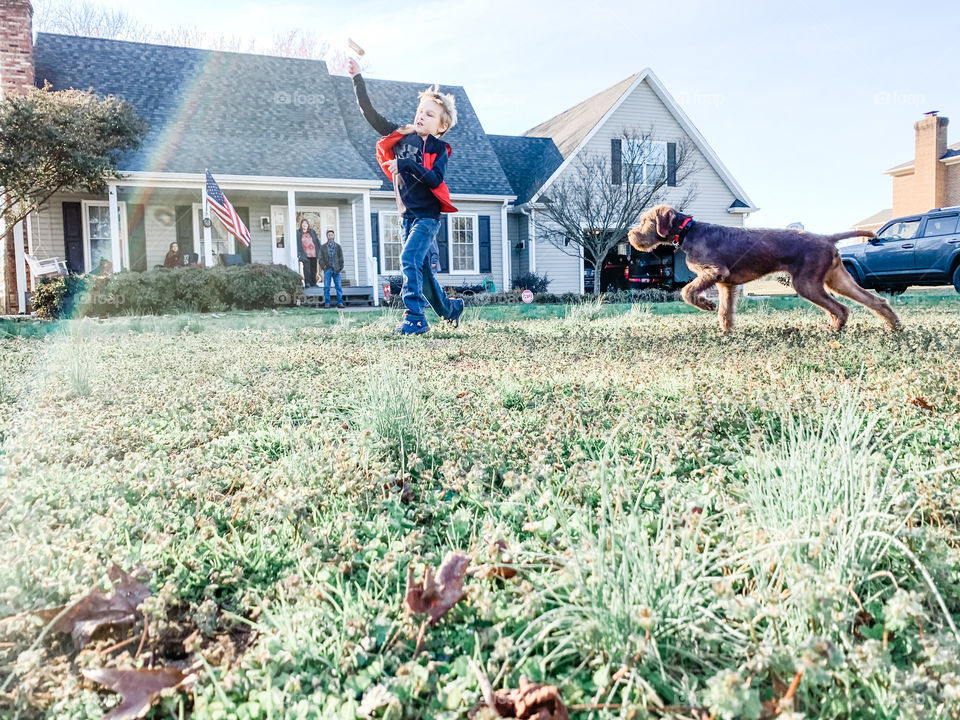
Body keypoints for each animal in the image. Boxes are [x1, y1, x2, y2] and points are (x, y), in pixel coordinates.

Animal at [628, 204, 904, 334]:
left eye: (645, 221)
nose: (631, 236)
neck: (688, 230)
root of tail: (826, 238)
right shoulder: (726, 283)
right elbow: (725, 312)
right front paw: (726, 333)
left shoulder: (715, 271)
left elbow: (687, 291)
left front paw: (705, 304)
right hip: (837, 280)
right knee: (875, 300)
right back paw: (894, 327)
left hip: (807, 284)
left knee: (840, 308)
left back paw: (832, 329)